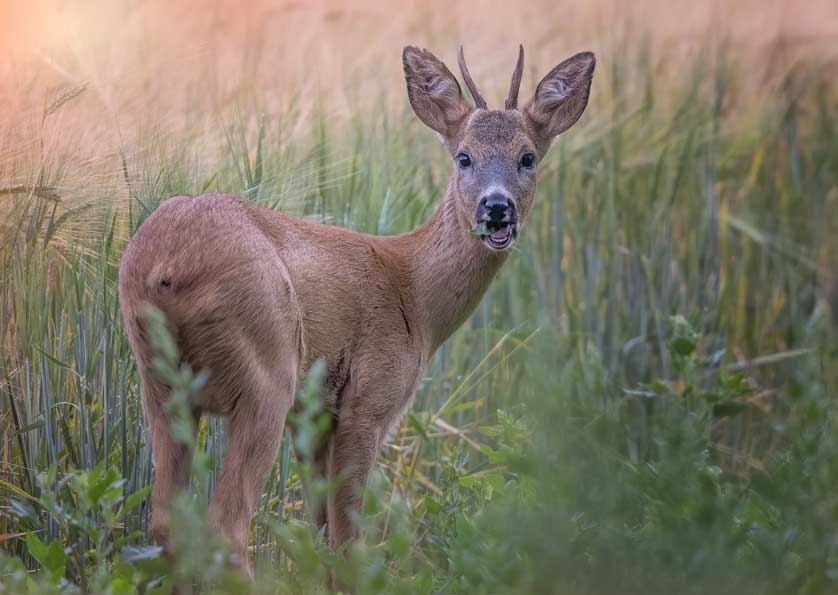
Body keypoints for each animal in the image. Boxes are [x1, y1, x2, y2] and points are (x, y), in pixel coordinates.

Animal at [118, 45, 595, 574]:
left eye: (527, 157)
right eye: (464, 157)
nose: (496, 208)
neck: (415, 294)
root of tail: (165, 266)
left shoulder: (316, 416)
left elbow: (318, 532)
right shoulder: (370, 398)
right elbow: (348, 539)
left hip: (160, 384)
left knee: (166, 524)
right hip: (266, 372)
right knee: (226, 527)